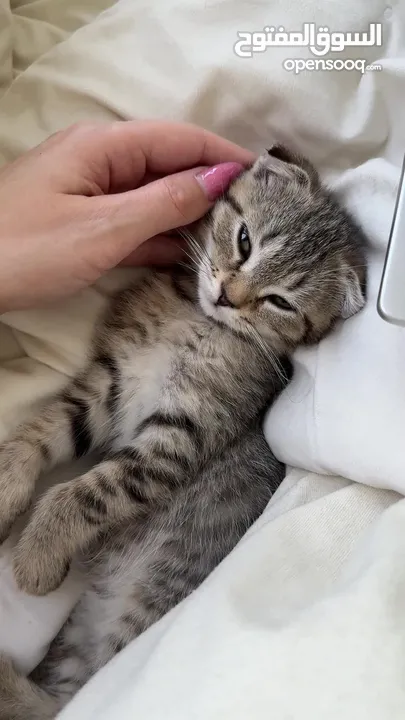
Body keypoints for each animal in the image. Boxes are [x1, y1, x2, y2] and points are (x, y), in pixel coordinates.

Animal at [0, 143, 366, 716]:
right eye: (245, 241)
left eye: (281, 302)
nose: (228, 295)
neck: (198, 321)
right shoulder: (110, 383)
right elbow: (42, 430)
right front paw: (6, 485)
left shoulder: (179, 436)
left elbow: (87, 492)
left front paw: (38, 550)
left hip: (142, 608)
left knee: (69, 700)